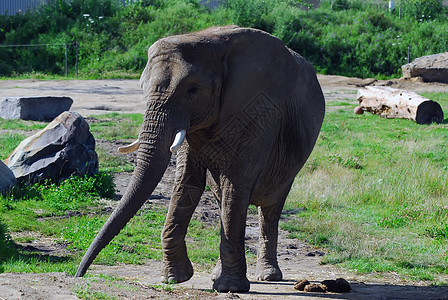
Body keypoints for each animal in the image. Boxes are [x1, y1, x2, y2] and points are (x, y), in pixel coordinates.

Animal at [74, 25, 326, 292]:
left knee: (269, 206)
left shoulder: (258, 111)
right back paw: (218, 275)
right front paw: (174, 279)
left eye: (192, 91)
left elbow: (235, 184)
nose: (79, 274)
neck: (209, 41)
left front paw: (230, 288)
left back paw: (266, 277)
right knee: (222, 198)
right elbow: (187, 182)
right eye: (142, 88)